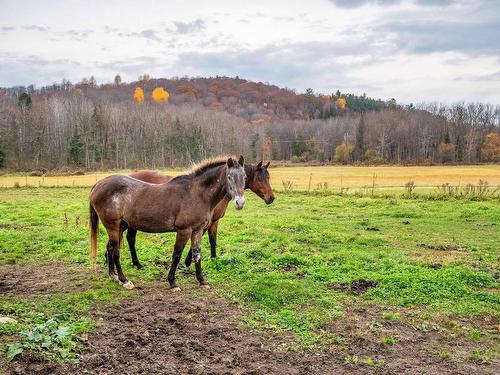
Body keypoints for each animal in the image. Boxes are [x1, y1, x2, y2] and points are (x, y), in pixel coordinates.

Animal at [90, 157, 248, 292]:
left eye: (245, 177)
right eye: (229, 177)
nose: (239, 203)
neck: (197, 194)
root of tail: (99, 184)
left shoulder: (197, 231)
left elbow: (197, 254)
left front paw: (202, 281)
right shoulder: (184, 231)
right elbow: (176, 255)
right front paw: (172, 283)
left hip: (120, 226)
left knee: (110, 248)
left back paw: (114, 276)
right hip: (113, 226)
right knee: (116, 251)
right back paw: (124, 280)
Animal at [128, 162, 278, 270]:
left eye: (268, 178)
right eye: (259, 178)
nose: (271, 198)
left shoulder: (214, 221)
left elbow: (212, 240)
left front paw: (213, 258)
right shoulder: (205, 222)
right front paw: (188, 261)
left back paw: (136, 263)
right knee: (131, 238)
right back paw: (137, 264)